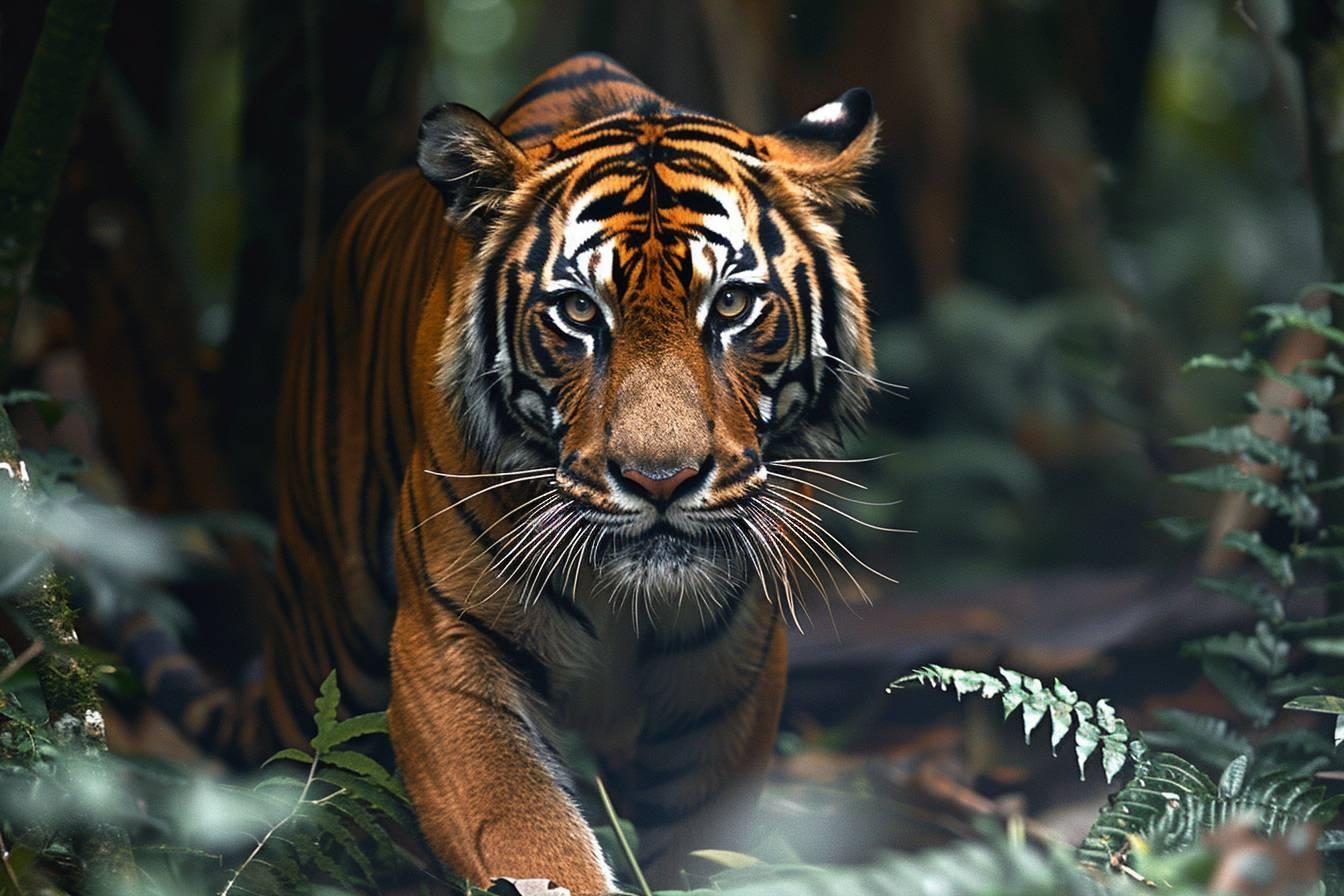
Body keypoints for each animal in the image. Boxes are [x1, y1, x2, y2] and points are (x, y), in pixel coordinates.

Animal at [125, 53, 880, 892]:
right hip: (324, 629)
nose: (660, 480)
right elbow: (527, 837)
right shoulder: (448, 649)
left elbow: (698, 844)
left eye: (734, 305)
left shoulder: (728, 673)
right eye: (578, 314)